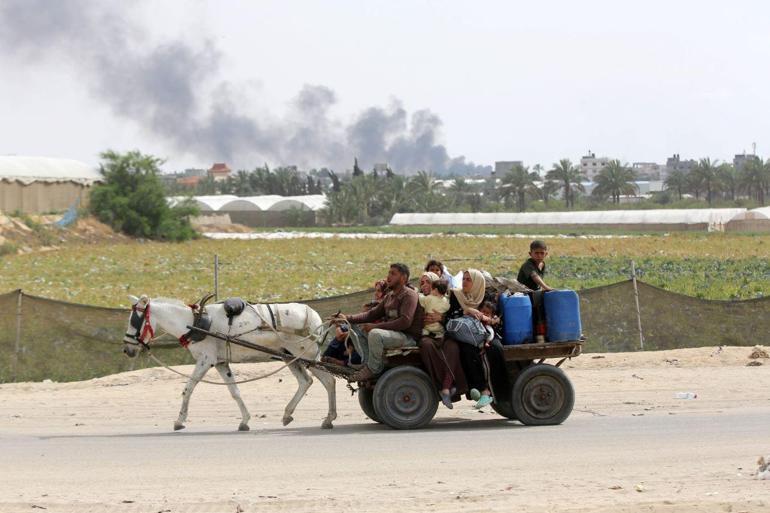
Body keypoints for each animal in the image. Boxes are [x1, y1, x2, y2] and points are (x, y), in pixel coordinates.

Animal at [121, 294, 334, 430]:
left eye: (135, 320)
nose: (127, 350)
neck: (195, 323)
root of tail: (313, 314)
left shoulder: (206, 360)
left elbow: (188, 388)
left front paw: (179, 421)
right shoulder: (220, 363)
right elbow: (234, 391)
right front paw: (245, 421)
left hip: (307, 355)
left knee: (329, 380)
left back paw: (329, 418)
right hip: (289, 356)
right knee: (306, 381)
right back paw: (289, 414)